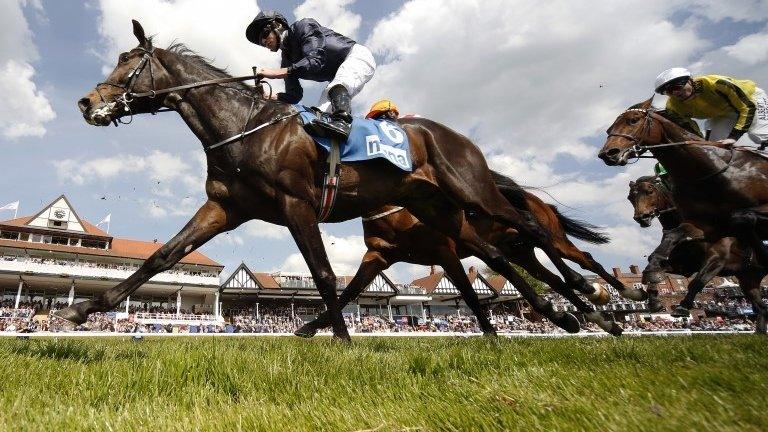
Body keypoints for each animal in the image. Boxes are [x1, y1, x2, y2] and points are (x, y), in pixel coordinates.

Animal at [60, 20, 592, 340]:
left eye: (129, 63)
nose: (86, 102)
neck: (246, 127)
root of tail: (462, 138)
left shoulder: (296, 204)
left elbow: (322, 273)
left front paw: (339, 338)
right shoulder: (226, 207)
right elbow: (163, 256)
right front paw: (83, 310)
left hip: (472, 192)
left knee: (538, 235)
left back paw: (592, 300)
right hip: (440, 210)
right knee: (501, 254)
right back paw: (567, 312)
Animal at [628, 175, 764, 330]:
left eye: (649, 191)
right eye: (630, 197)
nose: (641, 218)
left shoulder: (717, 260)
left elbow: (697, 282)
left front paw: (682, 306)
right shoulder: (683, 266)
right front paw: (654, 295)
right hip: (748, 281)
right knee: (761, 308)